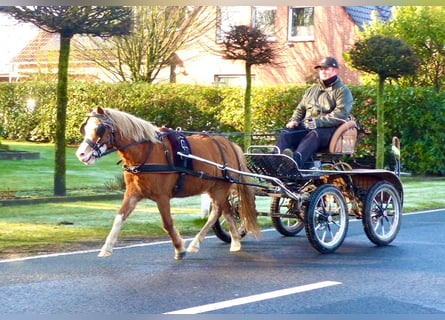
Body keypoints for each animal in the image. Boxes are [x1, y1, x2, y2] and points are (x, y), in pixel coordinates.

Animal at [74, 107, 258, 260]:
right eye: (84, 128)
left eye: (99, 128)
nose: (81, 154)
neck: (146, 152)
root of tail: (229, 144)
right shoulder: (133, 194)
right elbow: (119, 218)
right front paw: (107, 247)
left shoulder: (162, 196)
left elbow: (167, 223)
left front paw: (179, 248)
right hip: (215, 187)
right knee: (226, 211)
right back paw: (235, 241)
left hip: (220, 187)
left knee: (217, 212)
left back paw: (196, 243)